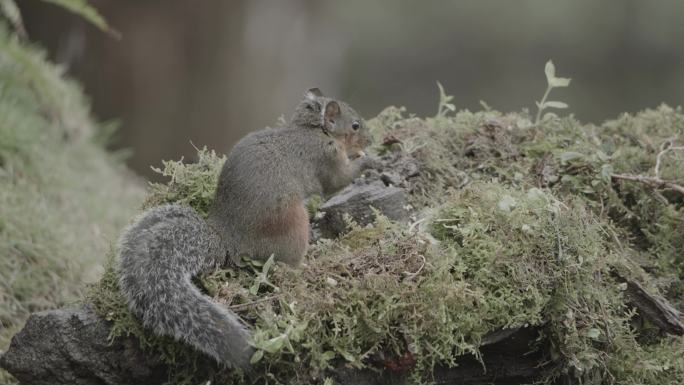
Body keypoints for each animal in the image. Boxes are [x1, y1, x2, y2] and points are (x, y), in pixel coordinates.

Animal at [118, 88, 374, 368]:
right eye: (355, 125)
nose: (371, 140)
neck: (314, 130)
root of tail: (229, 239)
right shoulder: (326, 157)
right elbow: (338, 181)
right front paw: (369, 160)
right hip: (292, 224)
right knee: (284, 265)